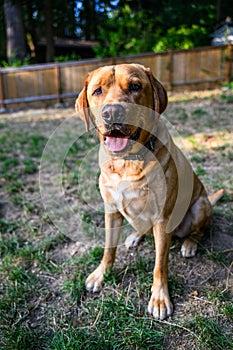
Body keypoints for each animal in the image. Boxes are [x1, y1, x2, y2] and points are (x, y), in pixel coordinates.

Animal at [75, 63, 223, 320]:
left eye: (135, 86)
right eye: (97, 91)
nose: (112, 113)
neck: (127, 162)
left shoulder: (162, 220)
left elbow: (160, 265)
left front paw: (160, 298)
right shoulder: (111, 211)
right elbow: (108, 250)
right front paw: (100, 275)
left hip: (200, 205)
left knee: (199, 230)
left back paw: (190, 244)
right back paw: (135, 236)